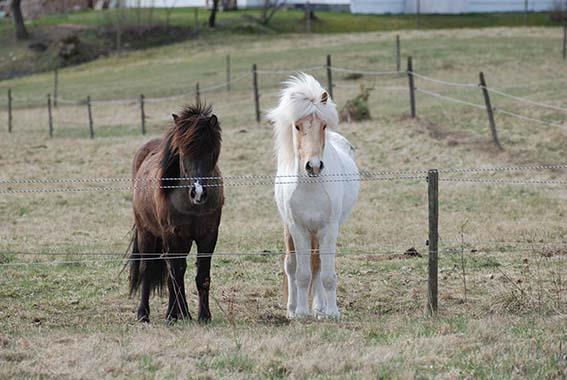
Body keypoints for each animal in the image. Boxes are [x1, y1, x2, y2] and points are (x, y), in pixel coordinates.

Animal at [130, 102, 225, 322]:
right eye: (182, 153)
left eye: (211, 152)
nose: (198, 192)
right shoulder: (173, 235)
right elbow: (177, 272)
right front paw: (174, 315)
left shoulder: (208, 236)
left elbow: (202, 276)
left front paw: (203, 316)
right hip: (146, 232)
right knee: (149, 269)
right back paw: (144, 314)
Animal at [270, 73, 360, 318]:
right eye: (297, 126)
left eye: (323, 125)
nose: (314, 166)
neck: (311, 187)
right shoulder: (298, 229)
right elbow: (302, 274)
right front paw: (301, 312)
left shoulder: (328, 228)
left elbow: (326, 273)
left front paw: (332, 312)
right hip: (290, 230)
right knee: (291, 266)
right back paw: (292, 309)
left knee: (317, 265)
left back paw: (320, 308)